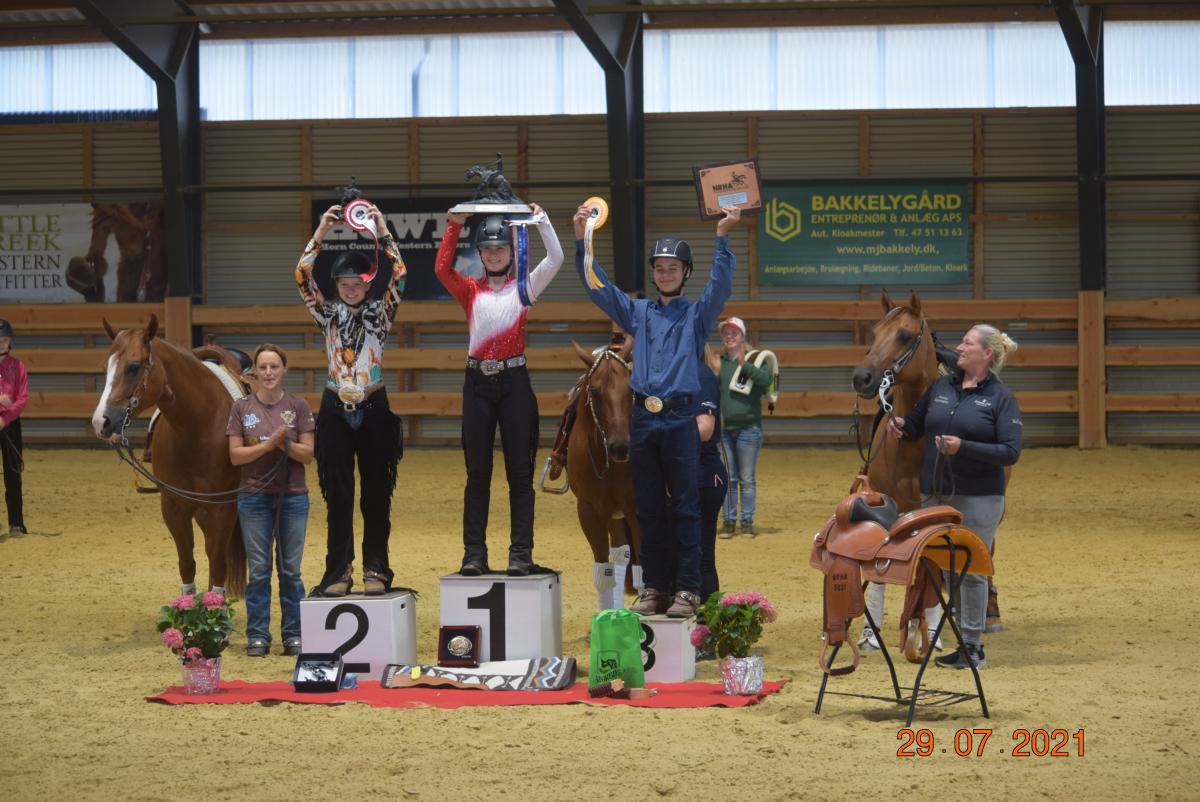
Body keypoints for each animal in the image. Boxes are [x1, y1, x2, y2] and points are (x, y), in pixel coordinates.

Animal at [91, 312, 248, 595]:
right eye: (106, 368)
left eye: (133, 367)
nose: (101, 421)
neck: (197, 425)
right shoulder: (174, 506)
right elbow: (187, 562)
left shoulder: (223, 507)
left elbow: (218, 560)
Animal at [566, 336, 643, 607]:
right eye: (595, 391)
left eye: (630, 390)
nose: (620, 446)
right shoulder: (590, 511)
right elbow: (604, 574)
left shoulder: (636, 510)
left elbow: (643, 572)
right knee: (621, 554)